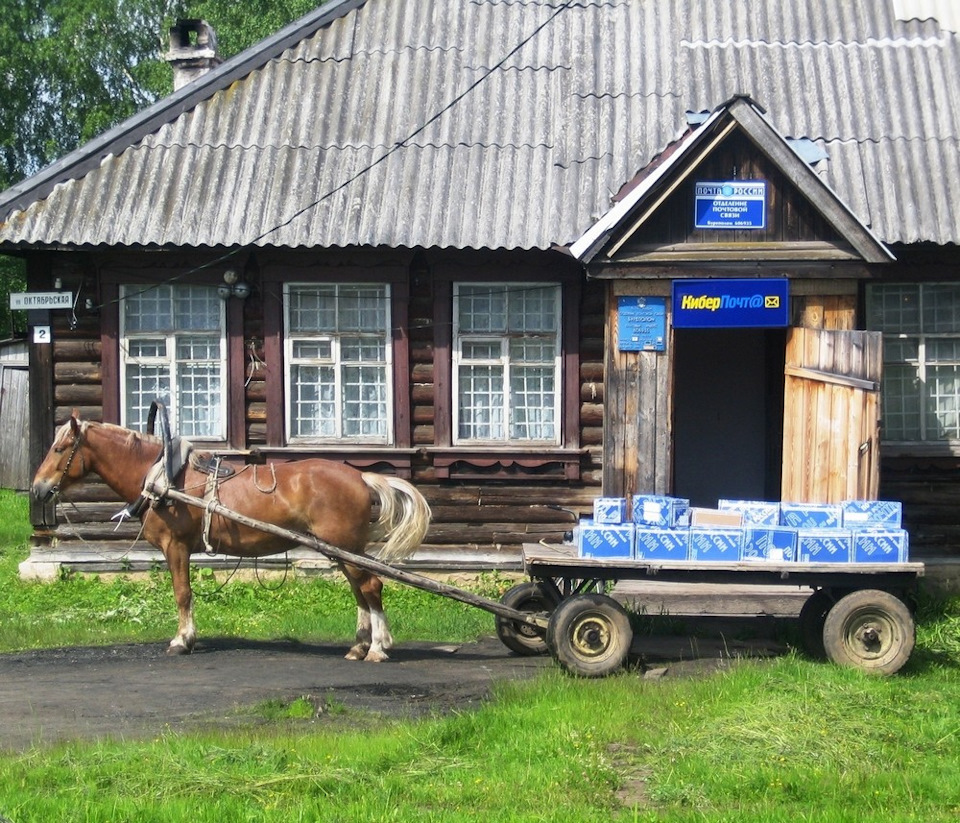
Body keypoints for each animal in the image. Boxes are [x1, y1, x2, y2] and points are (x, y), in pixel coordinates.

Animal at [31, 412, 432, 664]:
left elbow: (182, 593)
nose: (37, 489)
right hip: (343, 550)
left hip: (346, 548)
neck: (165, 480)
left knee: (372, 587)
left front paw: (182, 640)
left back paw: (378, 648)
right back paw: (359, 646)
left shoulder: (175, 547)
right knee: (361, 591)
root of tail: (360, 476)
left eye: (59, 449)